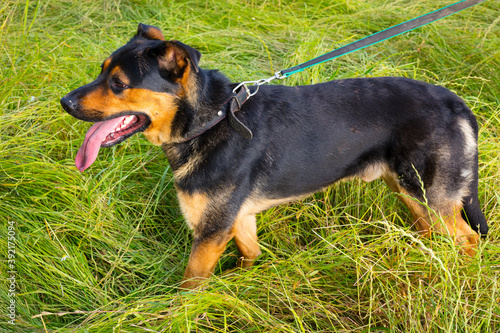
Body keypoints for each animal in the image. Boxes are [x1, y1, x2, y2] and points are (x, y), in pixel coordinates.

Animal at [59, 23, 488, 288]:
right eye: (101, 72)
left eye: (118, 84)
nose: (64, 103)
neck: (211, 120)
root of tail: (456, 104)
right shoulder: (236, 217)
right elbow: (250, 251)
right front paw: (239, 283)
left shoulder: (209, 231)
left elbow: (189, 286)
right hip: (410, 192)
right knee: (430, 230)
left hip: (429, 195)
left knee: (467, 239)